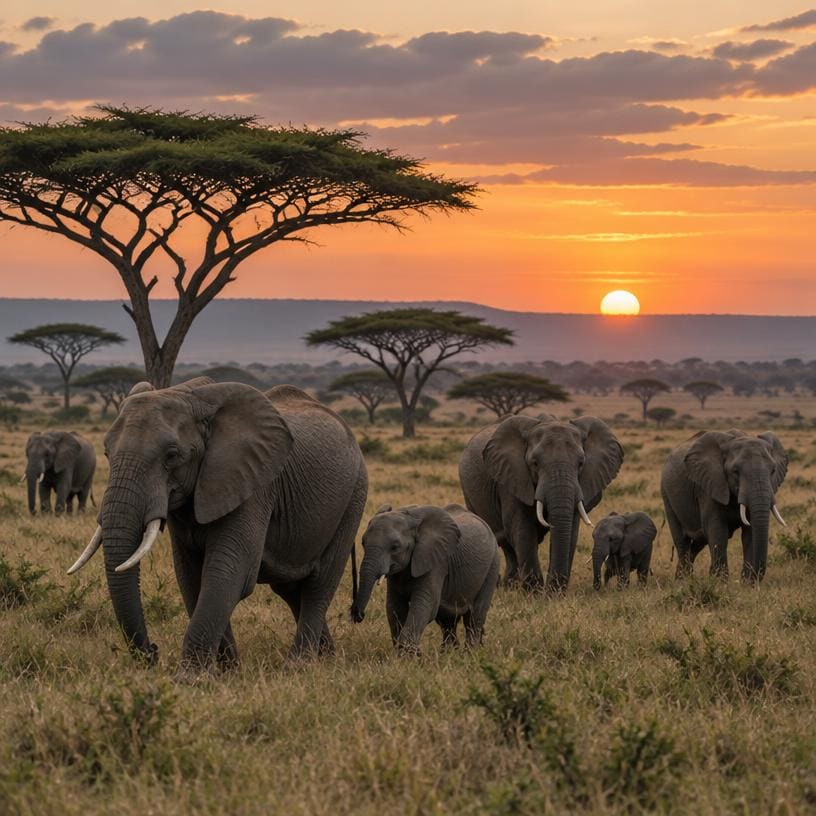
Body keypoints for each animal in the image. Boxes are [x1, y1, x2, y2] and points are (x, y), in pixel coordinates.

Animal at [67, 378, 368, 670]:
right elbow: (190, 576)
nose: (153, 652)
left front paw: (193, 677)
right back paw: (327, 658)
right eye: (106, 452)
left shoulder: (253, 486)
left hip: (354, 496)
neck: (193, 397)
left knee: (320, 583)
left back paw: (299, 665)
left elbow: (229, 572)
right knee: (291, 589)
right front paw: (228, 671)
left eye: (172, 455)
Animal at [350, 503, 499, 652]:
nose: (357, 615)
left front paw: (408, 654)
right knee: (447, 620)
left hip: (492, 565)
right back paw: (448, 653)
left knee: (475, 616)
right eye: (363, 543)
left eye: (395, 547)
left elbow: (424, 604)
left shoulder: (436, 562)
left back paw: (470, 652)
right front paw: (402, 652)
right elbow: (395, 606)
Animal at [459, 414, 623, 592]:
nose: (552, 590)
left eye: (581, 463)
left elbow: (571, 531)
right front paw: (535, 594)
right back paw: (511, 587)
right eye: (535, 463)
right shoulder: (513, 479)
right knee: (508, 542)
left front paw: (554, 593)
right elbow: (523, 530)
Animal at [661, 429, 788, 582]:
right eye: (735, 471)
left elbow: (750, 534)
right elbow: (718, 532)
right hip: (667, 495)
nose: (754, 578)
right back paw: (683, 581)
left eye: (773, 470)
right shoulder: (709, 487)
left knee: (698, 542)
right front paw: (720, 583)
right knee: (682, 541)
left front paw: (746, 583)